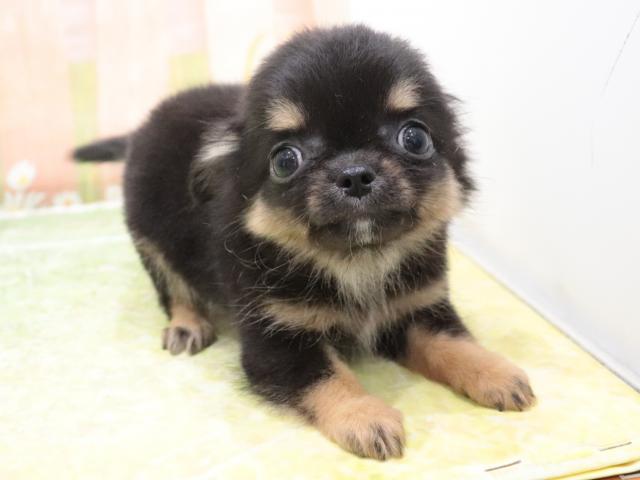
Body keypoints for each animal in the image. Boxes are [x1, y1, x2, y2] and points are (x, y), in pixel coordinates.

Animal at [74, 25, 535, 460]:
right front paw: (365, 416)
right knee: (173, 288)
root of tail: (142, 128)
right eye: (285, 160)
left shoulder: (416, 309)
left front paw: (497, 373)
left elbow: (453, 343)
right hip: (150, 237)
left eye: (415, 138)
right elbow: (327, 376)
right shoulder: (278, 339)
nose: (355, 173)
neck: (356, 261)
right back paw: (188, 325)